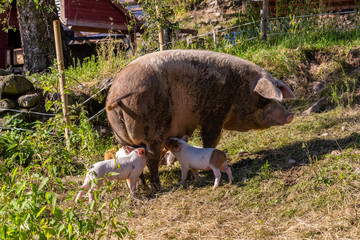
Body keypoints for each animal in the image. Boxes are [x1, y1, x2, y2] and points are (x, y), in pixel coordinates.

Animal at [105, 49, 296, 190]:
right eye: (263, 99)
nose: (290, 115)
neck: (239, 89)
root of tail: (116, 95)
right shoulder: (214, 115)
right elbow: (210, 140)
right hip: (152, 130)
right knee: (151, 159)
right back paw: (158, 187)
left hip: (122, 136)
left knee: (134, 159)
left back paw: (142, 187)